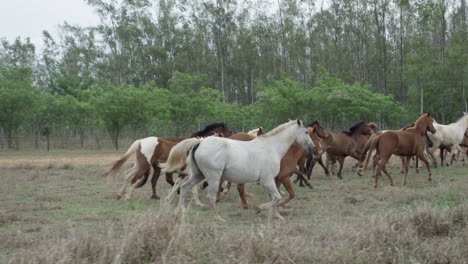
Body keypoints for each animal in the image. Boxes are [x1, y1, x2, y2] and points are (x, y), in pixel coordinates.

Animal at [159, 119, 316, 221]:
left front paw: (277, 215)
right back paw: (217, 218)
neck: (271, 147)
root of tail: (200, 142)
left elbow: (274, 197)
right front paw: (259, 208)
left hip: (198, 175)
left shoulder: (271, 180)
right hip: (213, 177)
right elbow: (276, 197)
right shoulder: (267, 180)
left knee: (184, 188)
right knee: (211, 196)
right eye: (306, 132)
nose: (313, 148)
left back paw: (179, 213)